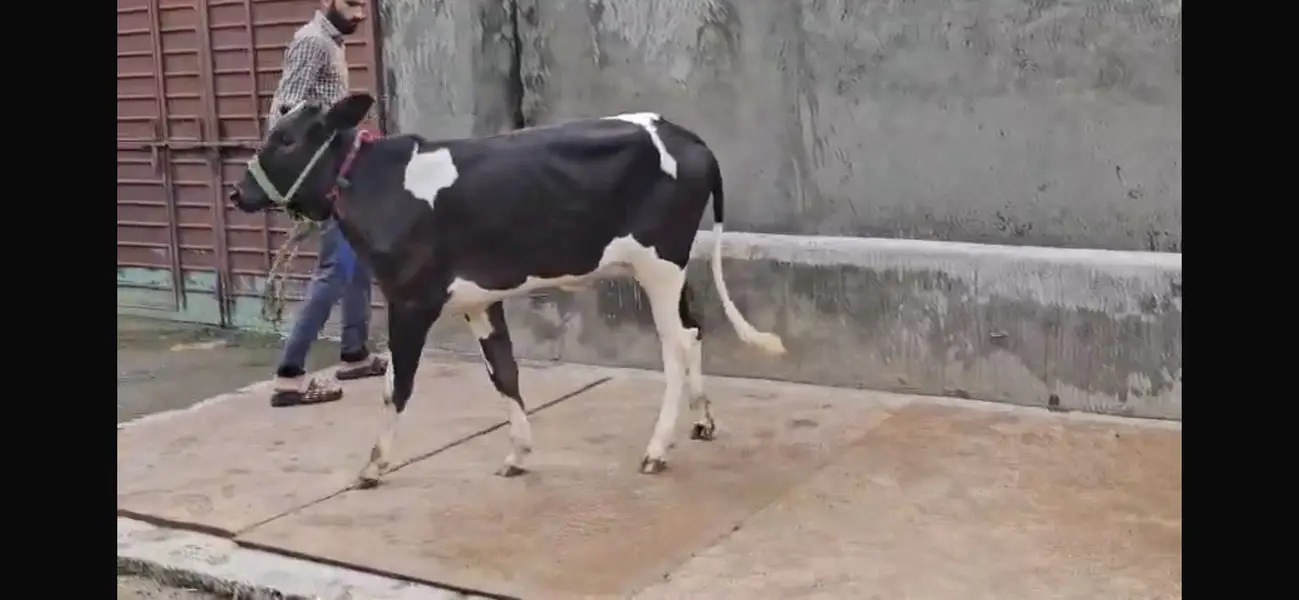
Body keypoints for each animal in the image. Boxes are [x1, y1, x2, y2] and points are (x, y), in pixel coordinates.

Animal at [228, 92, 786, 487]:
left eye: (286, 139)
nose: (238, 192)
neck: (377, 185)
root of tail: (686, 135)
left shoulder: (410, 299)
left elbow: (397, 387)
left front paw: (374, 465)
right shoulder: (480, 300)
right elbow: (505, 373)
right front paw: (517, 453)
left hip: (659, 264)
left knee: (675, 346)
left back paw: (655, 450)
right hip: (672, 267)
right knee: (694, 330)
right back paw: (702, 421)